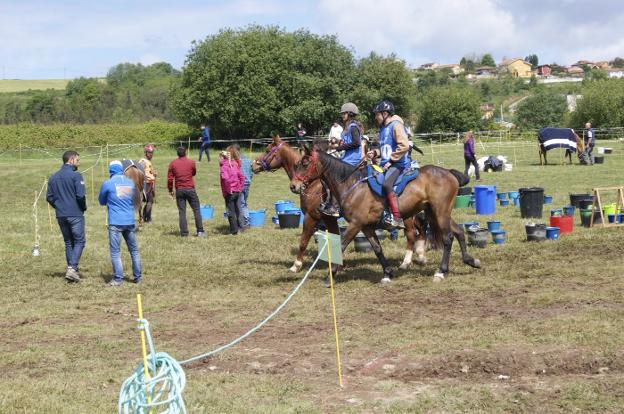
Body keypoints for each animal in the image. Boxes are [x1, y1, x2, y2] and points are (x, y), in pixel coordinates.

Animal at [290, 143, 480, 284]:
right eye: (297, 164)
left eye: (305, 164)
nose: (293, 186)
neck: (353, 186)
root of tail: (448, 173)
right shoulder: (365, 226)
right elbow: (377, 248)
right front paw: (387, 273)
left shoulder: (355, 224)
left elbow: (341, 245)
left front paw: (330, 276)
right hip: (437, 213)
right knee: (458, 232)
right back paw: (470, 260)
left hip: (440, 212)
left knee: (448, 238)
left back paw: (441, 271)